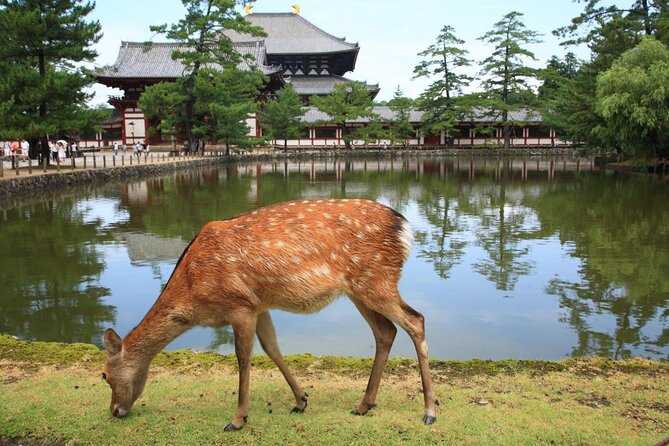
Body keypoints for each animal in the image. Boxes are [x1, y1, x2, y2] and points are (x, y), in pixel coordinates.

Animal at [102, 198, 438, 431]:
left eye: (104, 374)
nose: (115, 410)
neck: (194, 293)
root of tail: (405, 229)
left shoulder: (239, 305)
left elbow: (243, 358)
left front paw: (237, 419)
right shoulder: (259, 305)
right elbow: (272, 348)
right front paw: (301, 400)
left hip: (376, 280)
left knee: (416, 320)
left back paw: (429, 411)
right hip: (359, 288)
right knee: (386, 331)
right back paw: (364, 405)